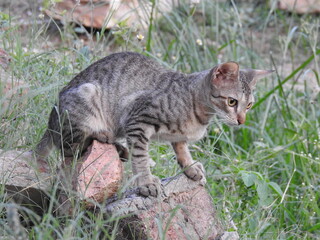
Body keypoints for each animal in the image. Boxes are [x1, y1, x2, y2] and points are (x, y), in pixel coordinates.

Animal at [33, 51, 274, 197]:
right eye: (232, 102)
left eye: (249, 105)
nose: (241, 120)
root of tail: (49, 123)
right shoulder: (138, 120)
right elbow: (141, 157)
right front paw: (146, 182)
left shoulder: (177, 136)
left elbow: (181, 148)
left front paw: (190, 167)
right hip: (86, 96)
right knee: (71, 149)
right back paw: (106, 137)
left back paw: (120, 148)